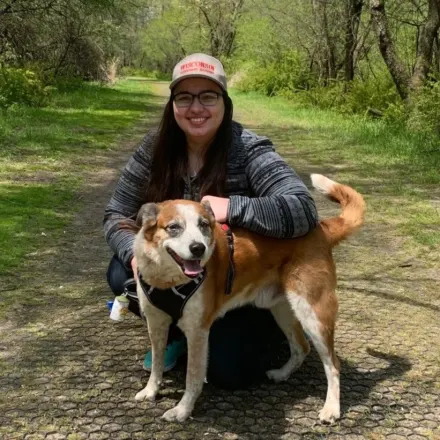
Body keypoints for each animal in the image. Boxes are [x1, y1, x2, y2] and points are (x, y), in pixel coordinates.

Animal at [130, 174, 364, 422]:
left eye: (204, 225)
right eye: (174, 227)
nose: (198, 248)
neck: (169, 280)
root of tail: (320, 227)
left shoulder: (197, 331)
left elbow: (192, 377)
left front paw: (183, 410)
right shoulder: (156, 323)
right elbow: (157, 363)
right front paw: (151, 390)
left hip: (313, 313)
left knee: (333, 364)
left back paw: (331, 408)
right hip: (282, 309)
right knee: (302, 347)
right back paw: (282, 373)